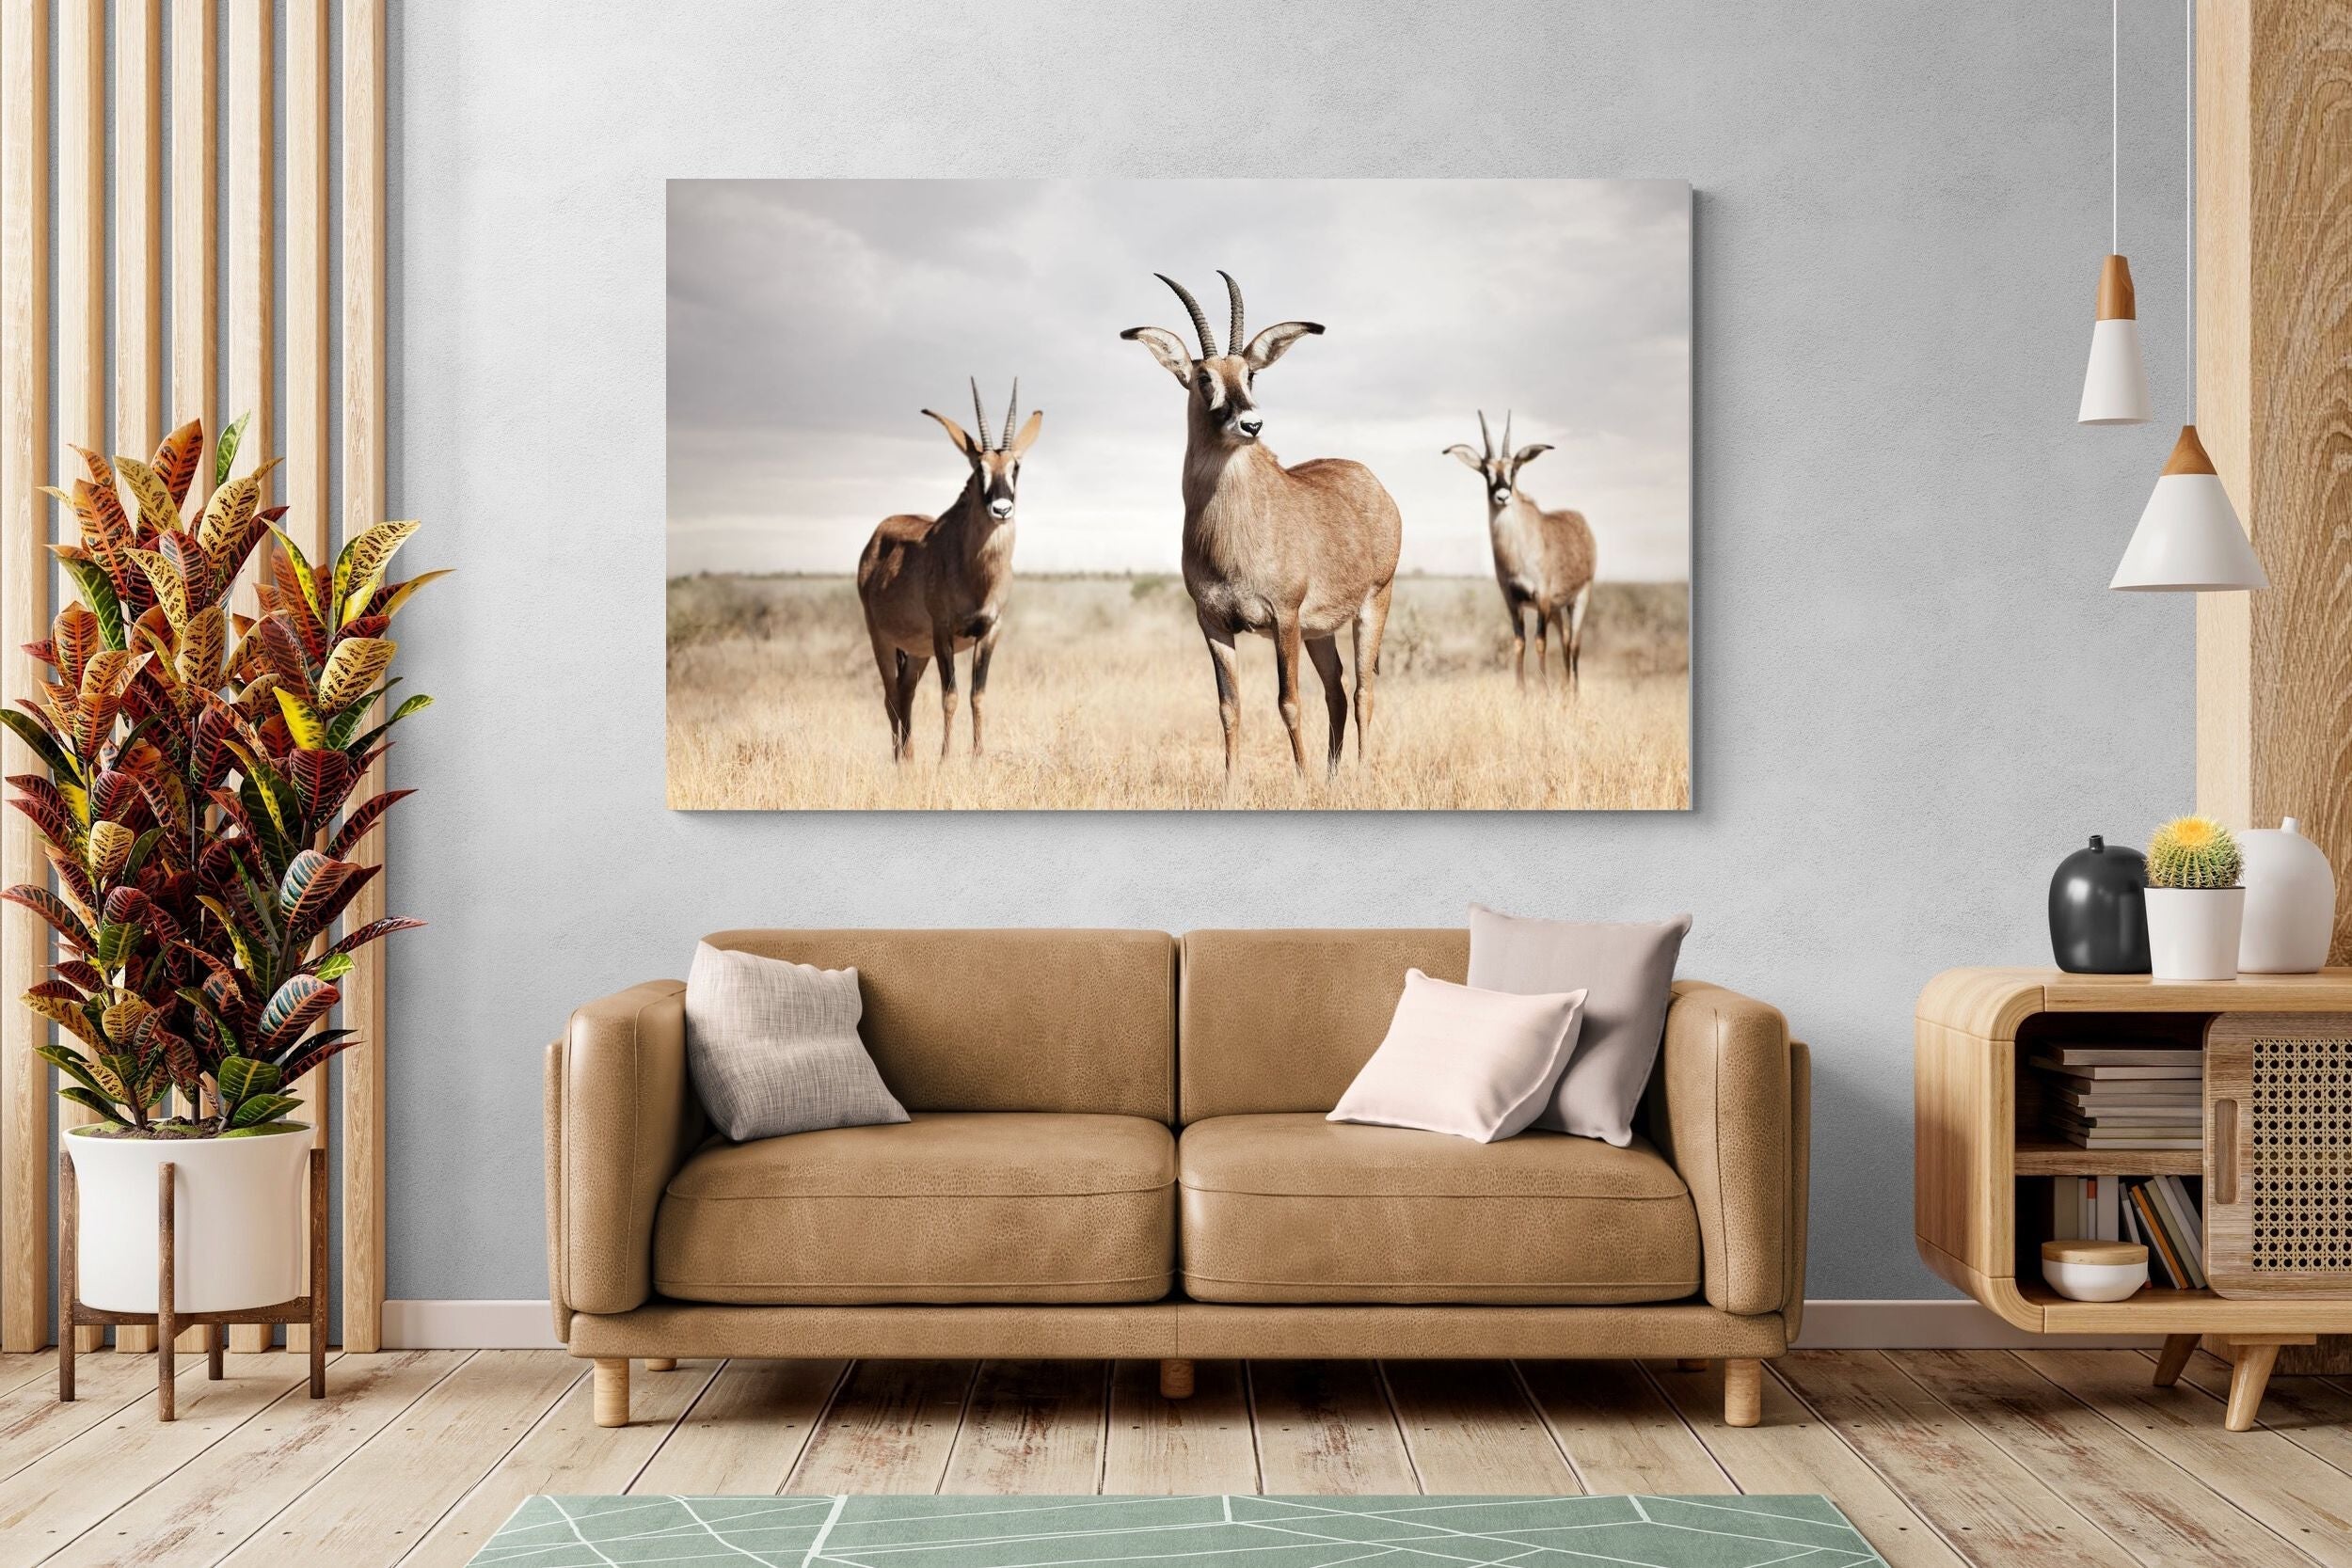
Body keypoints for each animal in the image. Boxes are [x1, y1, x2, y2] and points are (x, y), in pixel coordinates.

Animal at [856, 380, 1041, 760]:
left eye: (1015, 466)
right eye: (978, 468)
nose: (1002, 509)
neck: (976, 573)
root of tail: (876, 539)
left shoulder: (990, 630)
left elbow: (977, 695)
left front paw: (977, 758)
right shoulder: (943, 631)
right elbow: (951, 696)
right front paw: (944, 759)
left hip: (917, 651)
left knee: (906, 691)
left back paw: (909, 759)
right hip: (881, 638)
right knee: (891, 696)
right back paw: (902, 762)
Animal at [1121, 271, 1402, 779]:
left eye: (1249, 373)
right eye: (1204, 378)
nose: (1251, 424)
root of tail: (1373, 484)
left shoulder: (1283, 617)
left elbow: (1288, 702)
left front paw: (1302, 782)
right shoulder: (1213, 623)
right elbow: (1228, 707)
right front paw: (1232, 785)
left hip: (1372, 605)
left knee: (1362, 691)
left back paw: (1359, 774)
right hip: (1319, 631)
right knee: (1336, 691)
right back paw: (1333, 778)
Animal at [1445, 411, 1595, 692]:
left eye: (1514, 468)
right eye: (1486, 472)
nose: (1503, 497)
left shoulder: (1542, 597)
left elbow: (1540, 641)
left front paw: (1545, 692)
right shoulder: (1512, 600)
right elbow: (1519, 642)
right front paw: (1521, 693)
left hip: (1579, 598)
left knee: (1574, 644)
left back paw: (1573, 694)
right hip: (1558, 609)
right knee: (1565, 640)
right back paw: (1566, 692)